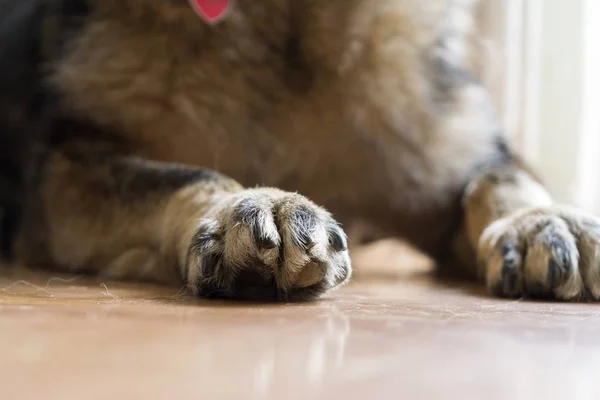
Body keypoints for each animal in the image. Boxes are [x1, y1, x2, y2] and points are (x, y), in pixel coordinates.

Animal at [1, 0, 600, 300]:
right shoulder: (65, 172)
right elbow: (181, 175)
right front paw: (244, 206)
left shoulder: (450, 160)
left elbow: (500, 179)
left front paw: (544, 220)